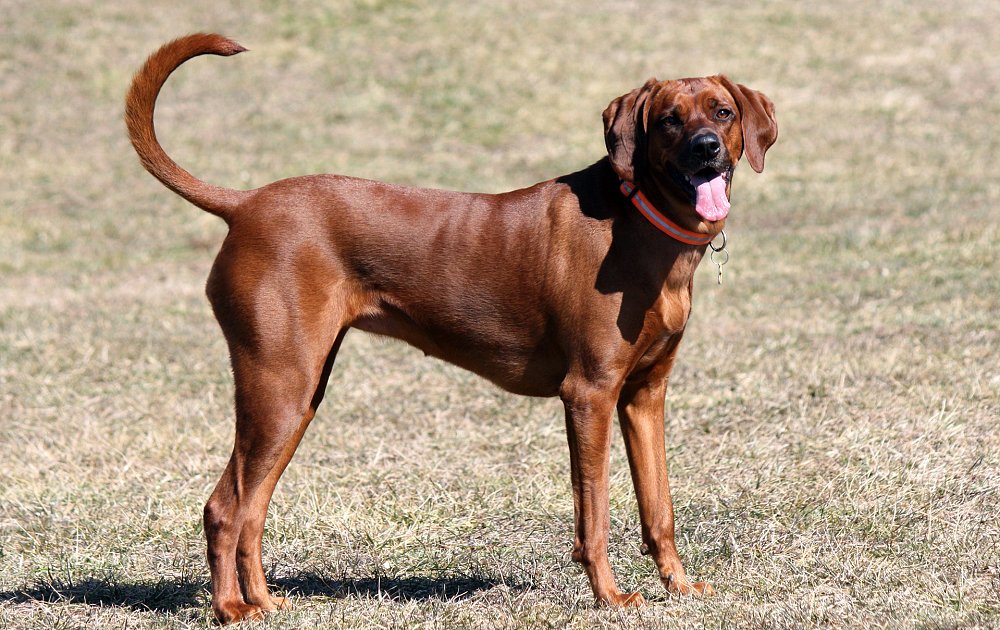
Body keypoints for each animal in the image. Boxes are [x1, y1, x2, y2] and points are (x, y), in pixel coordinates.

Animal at [125, 34, 776, 628]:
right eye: (668, 120)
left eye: (722, 111)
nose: (706, 148)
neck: (638, 220)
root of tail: (245, 204)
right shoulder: (589, 393)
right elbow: (593, 511)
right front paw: (610, 597)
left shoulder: (644, 395)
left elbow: (659, 506)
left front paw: (681, 587)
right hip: (278, 386)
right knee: (224, 507)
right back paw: (231, 608)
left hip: (297, 395)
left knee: (252, 507)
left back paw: (262, 601)